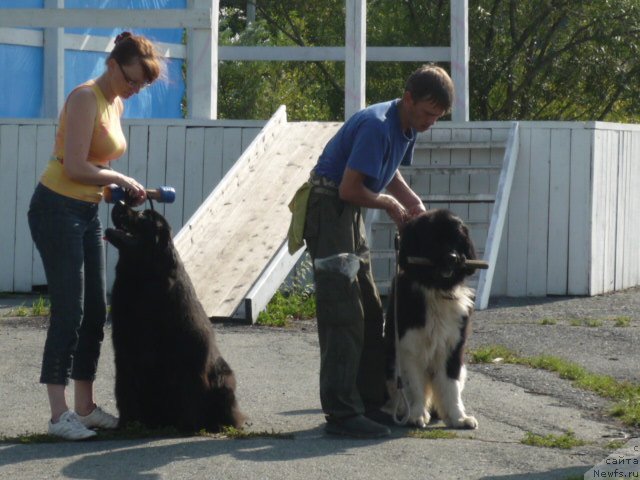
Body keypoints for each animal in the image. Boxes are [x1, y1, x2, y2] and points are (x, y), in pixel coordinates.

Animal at [105, 201, 245, 434]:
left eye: (143, 216)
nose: (119, 202)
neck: (143, 279)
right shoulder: (125, 352)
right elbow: (126, 389)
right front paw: (128, 424)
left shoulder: (188, 356)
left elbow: (190, 392)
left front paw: (189, 426)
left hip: (224, 378)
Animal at [384, 208, 480, 430]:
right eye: (434, 239)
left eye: (457, 239)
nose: (452, 257)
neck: (435, 289)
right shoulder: (408, 347)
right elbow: (413, 384)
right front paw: (416, 415)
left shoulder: (453, 347)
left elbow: (451, 385)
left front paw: (458, 417)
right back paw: (400, 410)